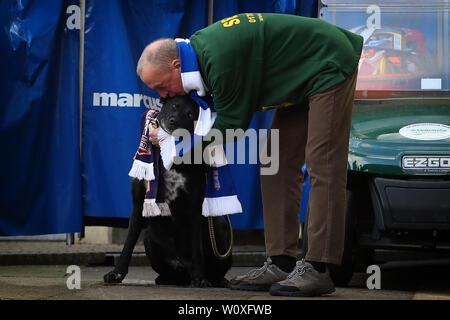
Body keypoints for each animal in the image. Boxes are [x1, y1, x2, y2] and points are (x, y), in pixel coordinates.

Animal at [104, 95, 232, 288]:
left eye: (190, 114)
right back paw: (165, 279)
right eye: (174, 106)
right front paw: (116, 273)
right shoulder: (138, 204)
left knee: (215, 267)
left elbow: (197, 249)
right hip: (149, 237)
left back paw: (216, 279)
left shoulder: (195, 206)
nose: (173, 122)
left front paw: (199, 278)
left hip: (220, 232)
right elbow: (128, 243)